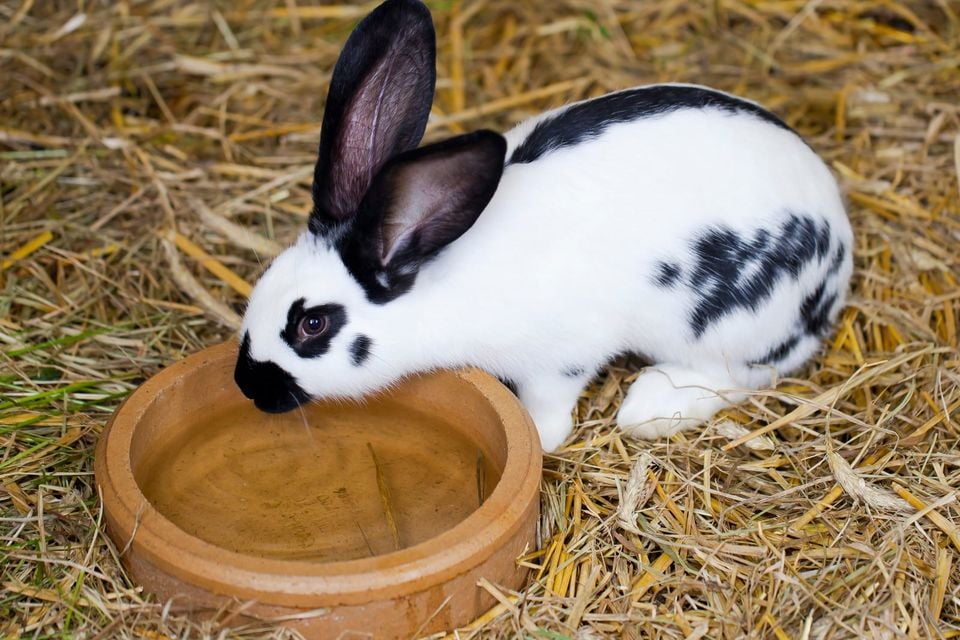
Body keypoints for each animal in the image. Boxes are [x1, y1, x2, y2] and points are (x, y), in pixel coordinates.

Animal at [234, 0, 853, 452]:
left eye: (312, 325)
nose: (247, 385)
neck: (436, 285)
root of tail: (839, 252)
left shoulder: (562, 357)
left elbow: (549, 410)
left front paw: (539, 438)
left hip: (721, 325)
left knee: (747, 373)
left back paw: (650, 408)